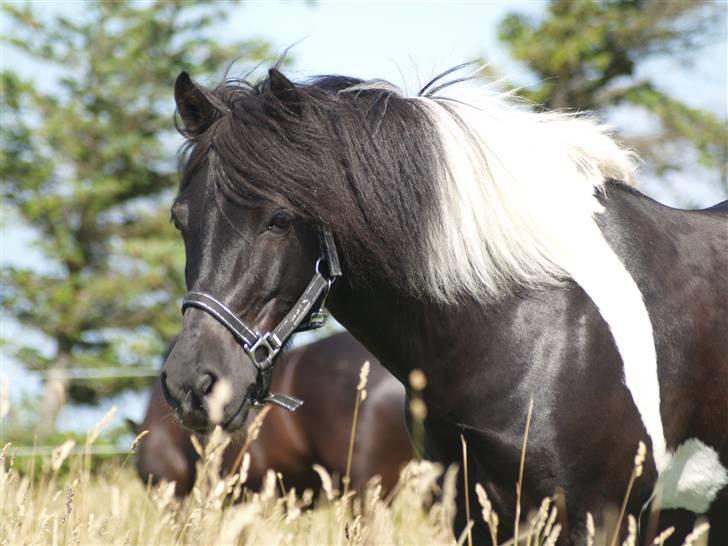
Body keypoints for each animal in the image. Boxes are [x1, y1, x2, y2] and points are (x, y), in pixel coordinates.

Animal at [162, 66, 728, 540]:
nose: (193, 383)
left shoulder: (601, 519)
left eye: (279, 220)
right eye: (179, 219)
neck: (539, 325)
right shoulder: (473, 517)